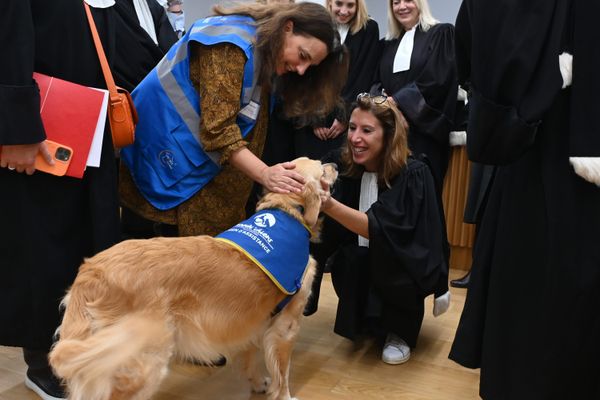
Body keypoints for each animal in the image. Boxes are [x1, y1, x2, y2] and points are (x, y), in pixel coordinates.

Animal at [48, 157, 338, 400]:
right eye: (321, 167)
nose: (336, 164)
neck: (286, 213)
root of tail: (92, 272)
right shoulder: (286, 325)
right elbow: (283, 373)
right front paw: (285, 395)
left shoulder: (256, 317)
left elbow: (250, 355)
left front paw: (258, 382)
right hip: (141, 359)